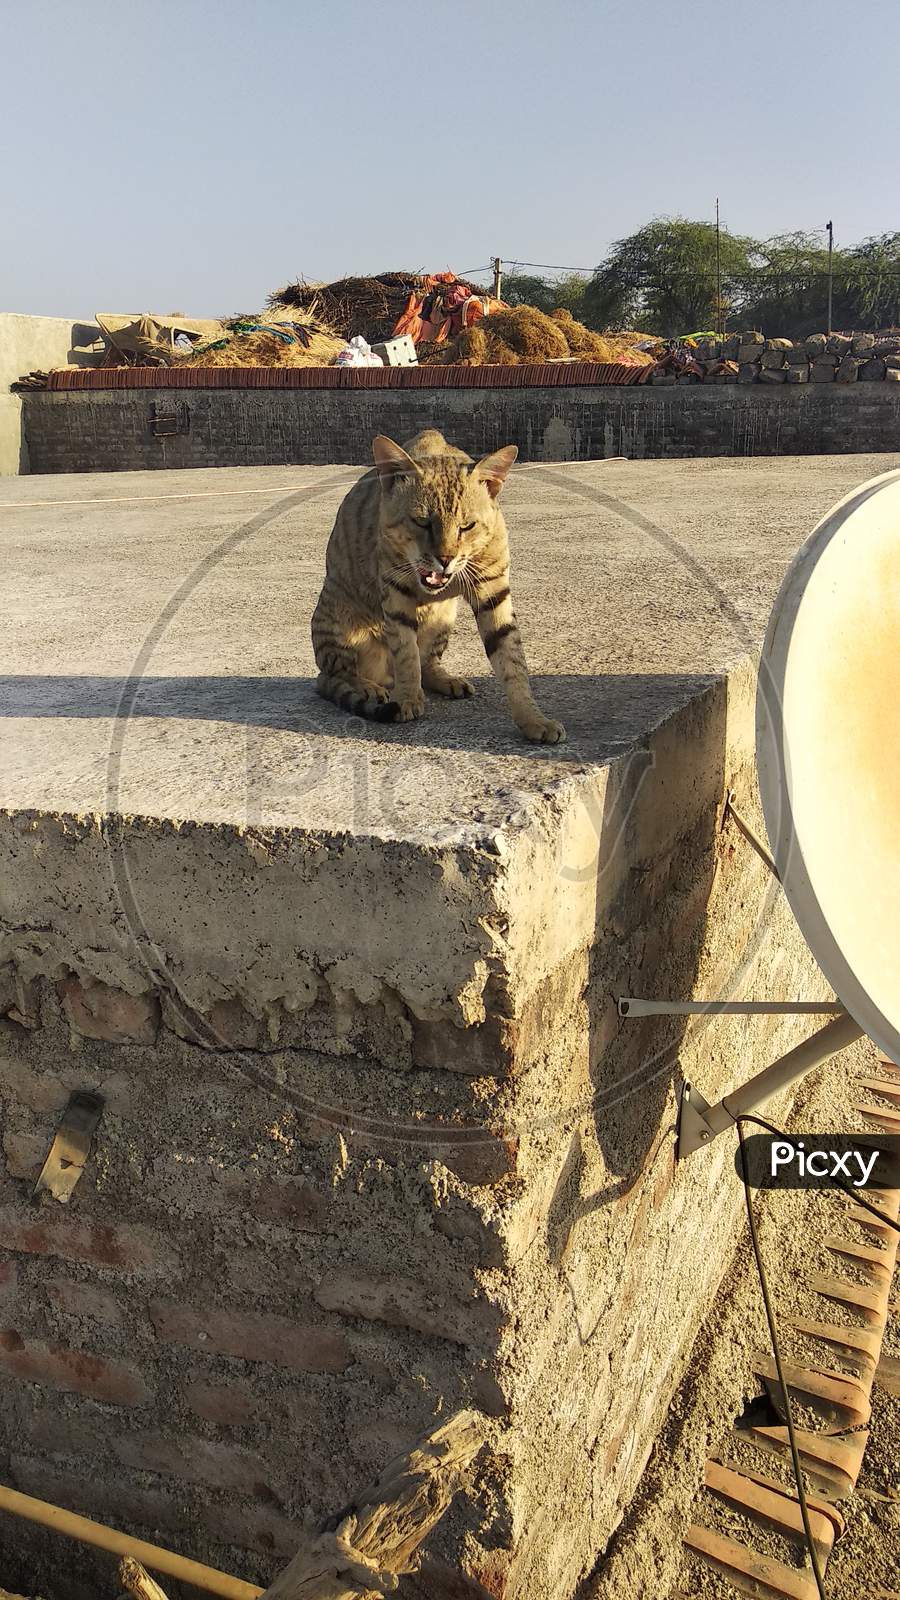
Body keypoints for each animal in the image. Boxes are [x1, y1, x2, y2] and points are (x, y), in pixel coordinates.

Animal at [307, 428, 560, 745]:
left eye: (467, 526)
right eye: (422, 522)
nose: (445, 558)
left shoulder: (493, 590)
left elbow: (512, 660)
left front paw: (533, 718)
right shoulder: (396, 591)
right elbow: (406, 653)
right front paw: (407, 700)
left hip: (443, 618)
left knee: (428, 663)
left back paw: (445, 680)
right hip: (339, 619)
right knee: (332, 675)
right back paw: (369, 687)